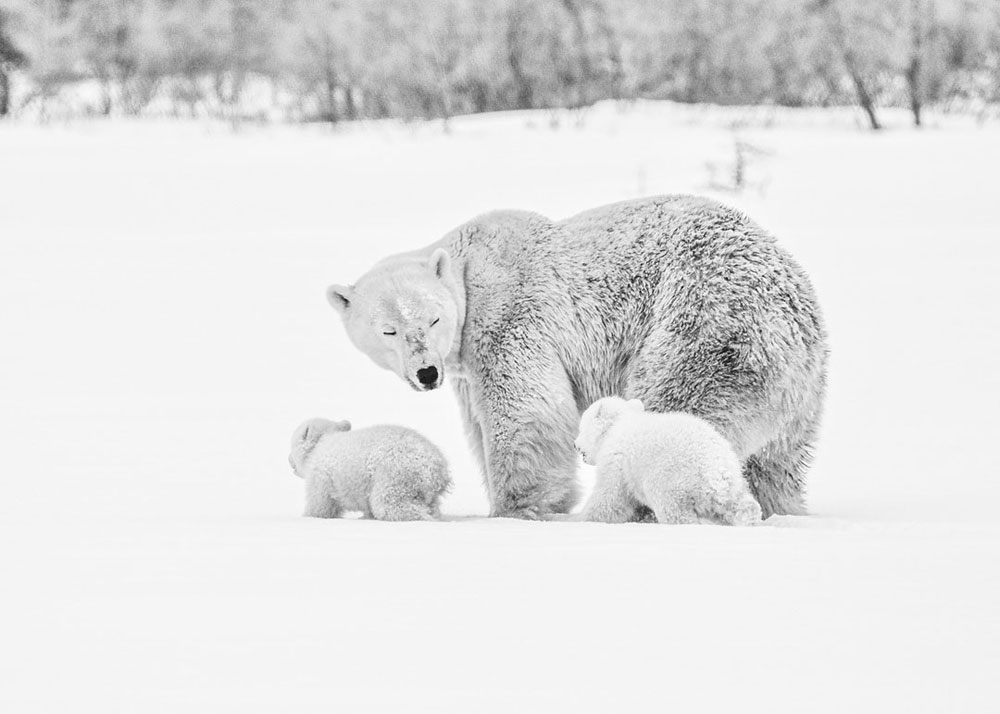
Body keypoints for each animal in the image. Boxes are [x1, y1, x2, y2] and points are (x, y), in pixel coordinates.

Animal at [288, 418, 448, 516]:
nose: (288, 460)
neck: (322, 443)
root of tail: (437, 471)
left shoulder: (321, 476)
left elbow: (321, 505)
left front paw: (308, 516)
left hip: (396, 473)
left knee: (388, 503)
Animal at [576, 394, 760, 524]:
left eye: (581, 428)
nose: (575, 445)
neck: (619, 425)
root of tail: (715, 472)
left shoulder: (617, 460)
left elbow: (609, 498)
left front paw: (580, 518)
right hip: (732, 482)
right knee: (740, 505)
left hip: (673, 480)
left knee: (674, 511)